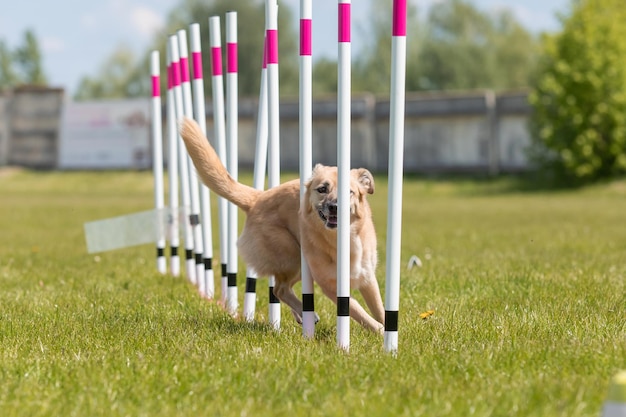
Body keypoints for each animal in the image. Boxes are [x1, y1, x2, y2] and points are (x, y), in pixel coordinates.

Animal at [178, 118, 382, 334]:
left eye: (349, 191)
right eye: (322, 189)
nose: (334, 207)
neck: (343, 240)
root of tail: (257, 198)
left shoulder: (368, 279)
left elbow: (378, 308)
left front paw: (386, 329)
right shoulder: (331, 285)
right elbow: (357, 309)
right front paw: (378, 330)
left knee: (281, 288)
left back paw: (302, 315)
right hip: (292, 256)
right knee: (279, 289)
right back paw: (306, 313)